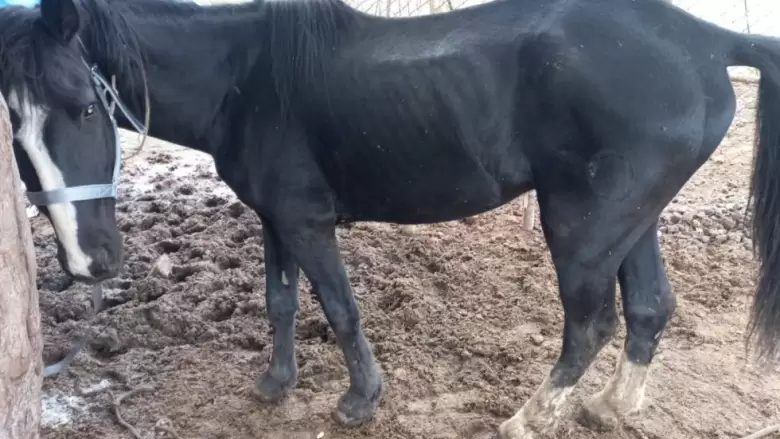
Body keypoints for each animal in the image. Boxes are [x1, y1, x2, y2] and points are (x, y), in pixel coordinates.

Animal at [2, 0, 780, 436]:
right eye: (14, 127)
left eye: (85, 106)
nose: (89, 263)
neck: (245, 77)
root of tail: (708, 41)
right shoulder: (275, 218)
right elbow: (280, 302)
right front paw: (276, 385)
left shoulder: (308, 220)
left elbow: (340, 308)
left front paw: (359, 400)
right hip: (630, 221)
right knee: (650, 307)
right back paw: (609, 408)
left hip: (584, 225)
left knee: (592, 323)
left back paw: (528, 418)